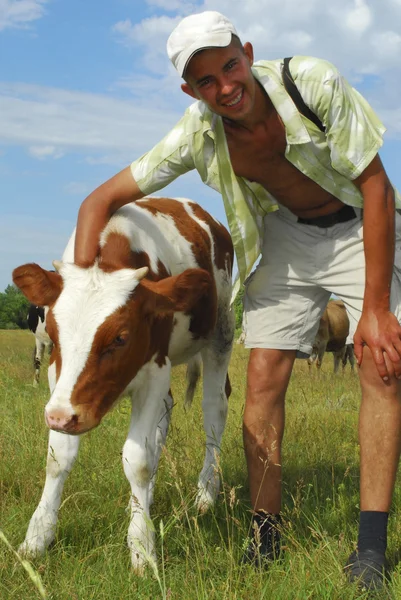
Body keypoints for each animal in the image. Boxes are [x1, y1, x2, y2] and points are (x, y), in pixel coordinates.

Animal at [12, 197, 233, 572]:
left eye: (120, 338)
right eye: (53, 332)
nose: (59, 418)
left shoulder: (155, 370)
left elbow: (137, 460)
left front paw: (142, 547)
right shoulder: (60, 379)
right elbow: (58, 458)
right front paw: (37, 537)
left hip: (221, 331)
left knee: (214, 410)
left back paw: (206, 493)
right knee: (165, 416)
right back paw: (147, 498)